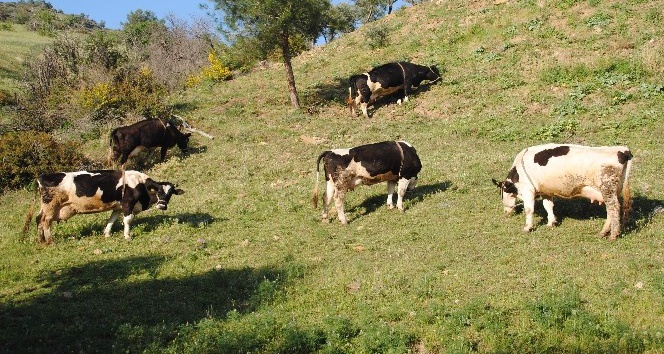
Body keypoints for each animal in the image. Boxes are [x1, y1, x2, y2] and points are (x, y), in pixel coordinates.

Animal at [27, 169, 184, 243]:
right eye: (158, 191)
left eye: (170, 194)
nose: (162, 206)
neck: (140, 184)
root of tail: (41, 177)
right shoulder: (127, 204)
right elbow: (127, 220)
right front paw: (127, 236)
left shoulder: (118, 207)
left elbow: (112, 219)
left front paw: (107, 233)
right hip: (51, 206)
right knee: (46, 221)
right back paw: (49, 241)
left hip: (45, 207)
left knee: (38, 219)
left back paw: (41, 240)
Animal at [492, 144, 632, 241]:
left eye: (502, 193)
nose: (506, 212)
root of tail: (622, 150)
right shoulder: (546, 191)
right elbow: (548, 205)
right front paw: (551, 223)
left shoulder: (528, 190)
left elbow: (529, 209)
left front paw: (527, 227)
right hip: (611, 191)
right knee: (611, 210)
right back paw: (604, 232)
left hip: (607, 188)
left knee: (614, 208)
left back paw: (613, 235)